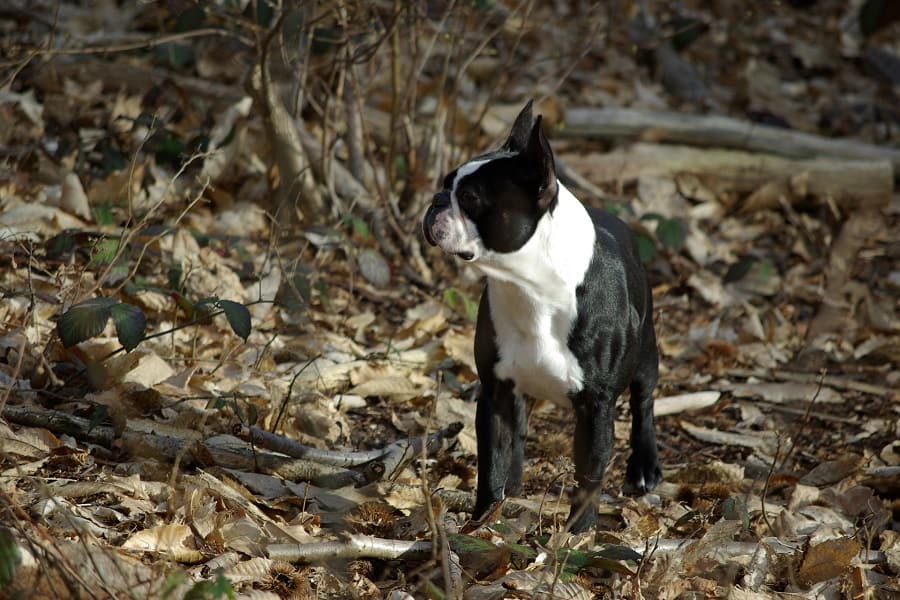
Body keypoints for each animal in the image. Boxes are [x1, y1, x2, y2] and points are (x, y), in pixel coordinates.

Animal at [422, 101, 660, 532]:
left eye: (469, 197)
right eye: (446, 184)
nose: (435, 199)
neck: (530, 287)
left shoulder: (596, 407)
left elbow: (589, 475)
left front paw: (578, 534)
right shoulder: (495, 391)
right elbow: (491, 461)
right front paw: (483, 519)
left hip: (647, 351)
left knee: (644, 401)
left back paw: (644, 466)